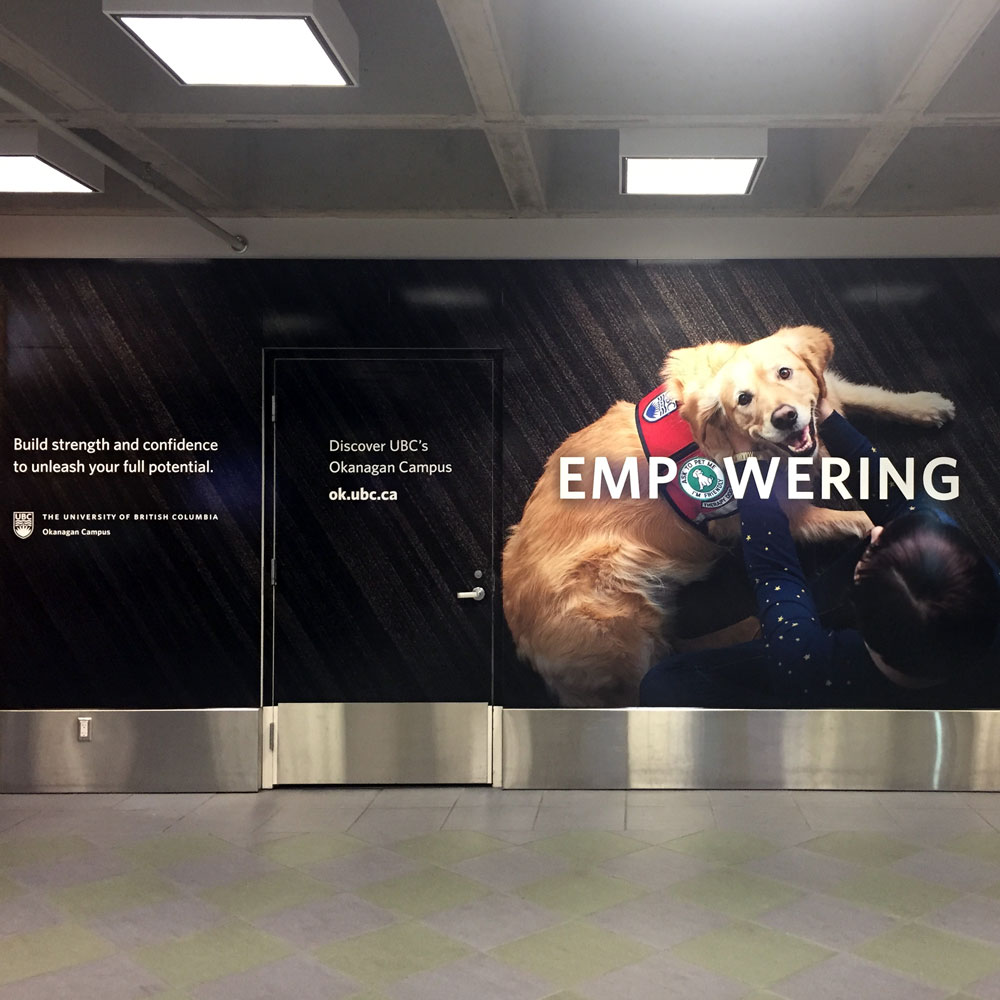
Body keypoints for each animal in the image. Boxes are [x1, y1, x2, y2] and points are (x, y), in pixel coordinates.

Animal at [504, 324, 956, 708]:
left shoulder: (826, 400)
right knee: (654, 673)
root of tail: (523, 642)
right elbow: (857, 519)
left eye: (785, 373)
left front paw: (924, 405)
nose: (785, 417)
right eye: (743, 399)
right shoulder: (784, 517)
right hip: (622, 619)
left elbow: (860, 395)